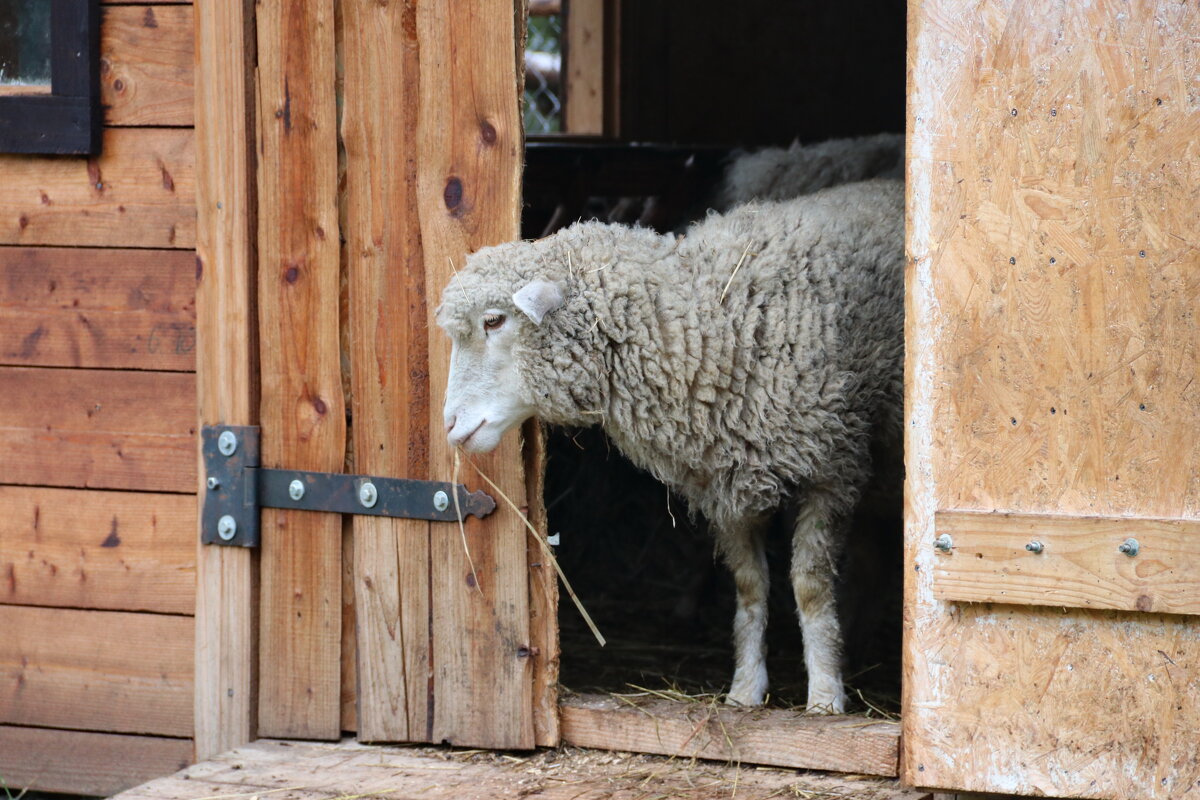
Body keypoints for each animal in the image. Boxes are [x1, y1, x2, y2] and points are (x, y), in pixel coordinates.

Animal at [439, 179, 902, 714]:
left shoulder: (832, 470)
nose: (449, 424)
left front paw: (825, 695)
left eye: (494, 321)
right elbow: (750, 587)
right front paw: (745, 690)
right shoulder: (728, 485)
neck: (716, 321)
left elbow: (808, 586)